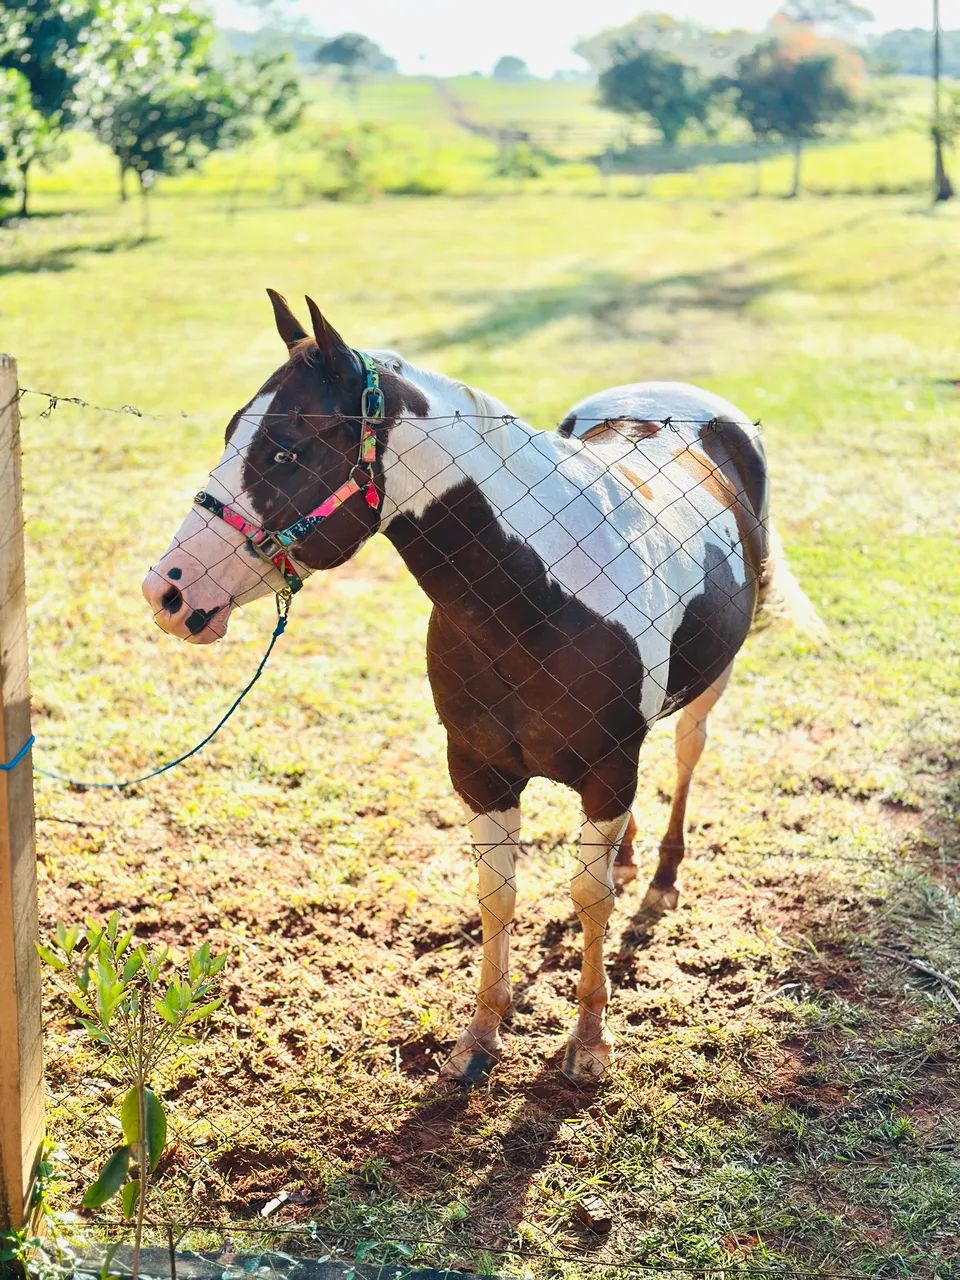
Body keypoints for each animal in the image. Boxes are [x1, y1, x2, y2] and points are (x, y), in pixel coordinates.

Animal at [143, 290, 819, 1085]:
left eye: (284, 447)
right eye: (233, 433)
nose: (167, 591)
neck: (538, 601)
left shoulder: (607, 771)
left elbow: (588, 899)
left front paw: (589, 1040)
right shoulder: (479, 770)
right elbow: (498, 897)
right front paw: (482, 1034)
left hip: (709, 686)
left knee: (686, 753)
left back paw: (661, 874)